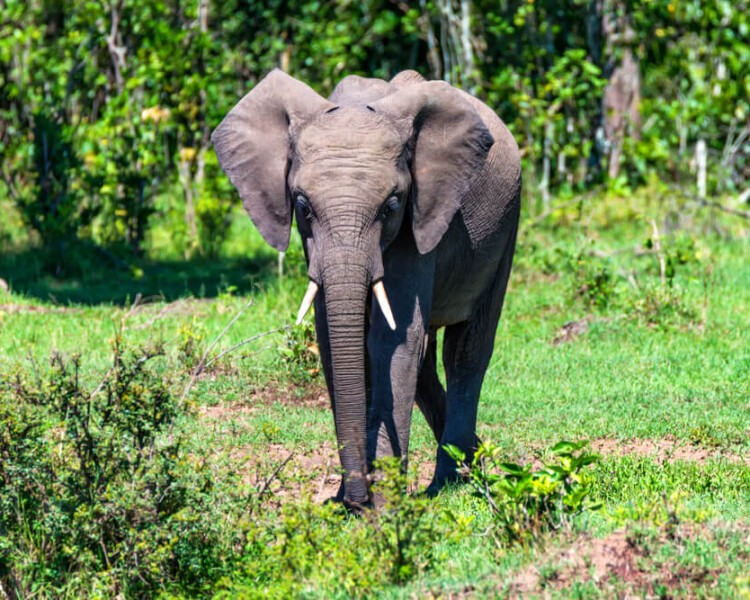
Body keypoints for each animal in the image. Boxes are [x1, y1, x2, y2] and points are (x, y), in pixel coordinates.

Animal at [212, 68, 524, 506]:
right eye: (302, 206)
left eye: (391, 207)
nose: (356, 497)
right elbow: (335, 338)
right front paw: (351, 502)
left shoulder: (418, 217)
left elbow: (390, 340)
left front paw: (385, 506)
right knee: (426, 363)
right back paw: (474, 464)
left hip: (507, 223)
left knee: (465, 351)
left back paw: (449, 482)